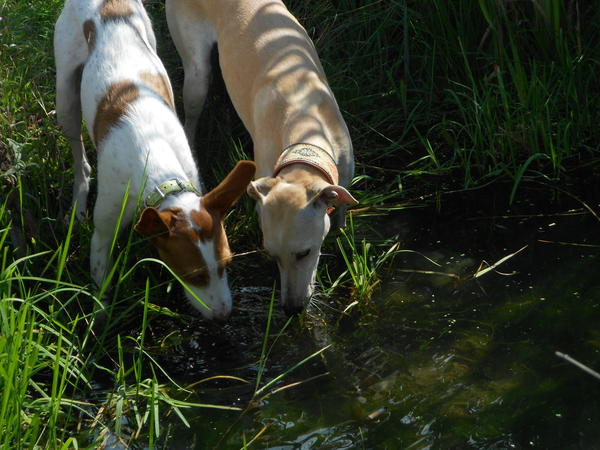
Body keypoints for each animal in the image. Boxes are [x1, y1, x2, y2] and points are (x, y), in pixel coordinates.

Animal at [53, 0, 255, 320]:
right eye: (193, 275)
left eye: (227, 263)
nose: (223, 316)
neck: (156, 165)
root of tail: (109, 6)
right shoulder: (103, 232)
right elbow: (101, 283)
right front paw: (99, 321)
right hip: (65, 98)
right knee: (78, 155)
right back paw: (78, 199)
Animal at [166, 0, 358, 316]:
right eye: (271, 254)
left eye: (304, 253)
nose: (292, 309)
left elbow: (341, 216)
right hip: (196, 72)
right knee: (190, 114)